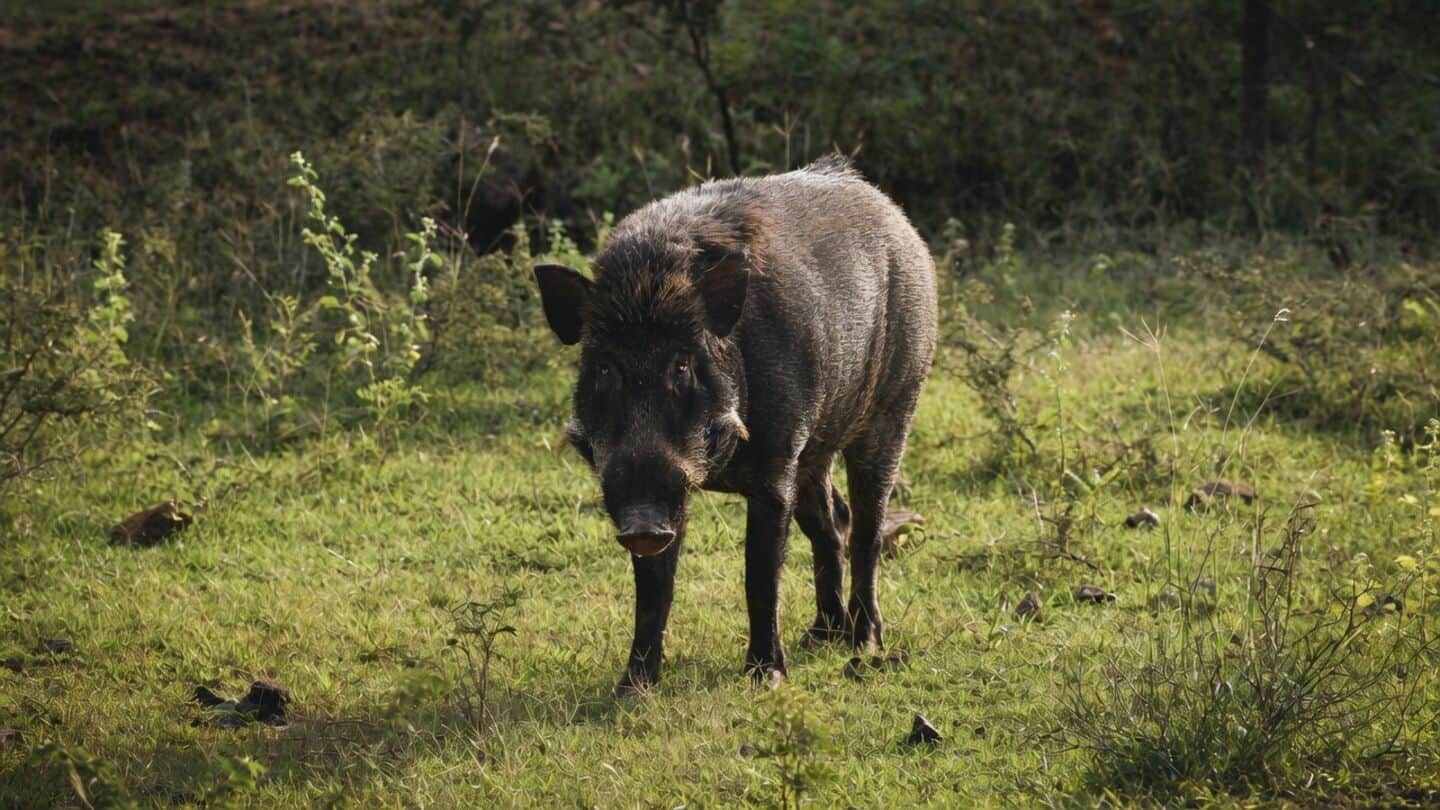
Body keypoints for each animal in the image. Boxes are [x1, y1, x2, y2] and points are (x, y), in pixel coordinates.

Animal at [534, 155, 937, 693]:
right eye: (603, 369)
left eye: (682, 366)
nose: (642, 524)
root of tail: (897, 218)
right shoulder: (675, 489)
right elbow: (654, 590)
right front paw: (632, 687)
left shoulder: (775, 463)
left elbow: (759, 574)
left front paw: (767, 678)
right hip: (814, 451)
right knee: (833, 522)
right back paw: (820, 638)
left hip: (895, 406)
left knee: (867, 529)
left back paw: (864, 643)